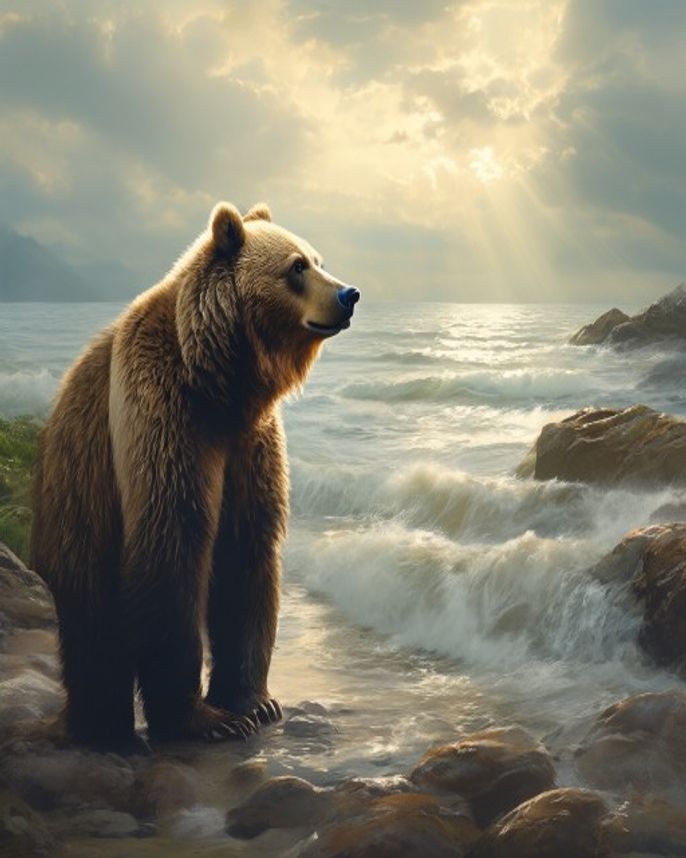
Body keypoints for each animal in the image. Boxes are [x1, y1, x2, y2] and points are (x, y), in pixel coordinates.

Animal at [30, 202, 360, 749]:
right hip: (81, 493)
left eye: (318, 259)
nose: (348, 294)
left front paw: (254, 702)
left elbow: (247, 546)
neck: (222, 379)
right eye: (296, 267)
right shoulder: (166, 410)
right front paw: (204, 718)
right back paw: (99, 726)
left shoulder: (249, 441)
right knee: (93, 619)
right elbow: (174, 537)